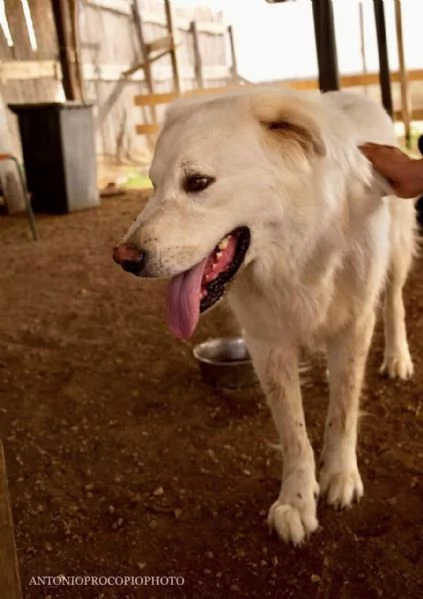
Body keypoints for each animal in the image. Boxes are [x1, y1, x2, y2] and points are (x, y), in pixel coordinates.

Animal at [113, 88, 418, 544]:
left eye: (197, 182)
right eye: (151, 184)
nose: (124, 259)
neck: (297, 254)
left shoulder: (352, 325)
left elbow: (344, 410)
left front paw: (340, 476)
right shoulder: (266, 344)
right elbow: (293, 433)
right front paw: (297, 501)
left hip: (395, 252)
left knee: (394, 301)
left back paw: (397, 359)